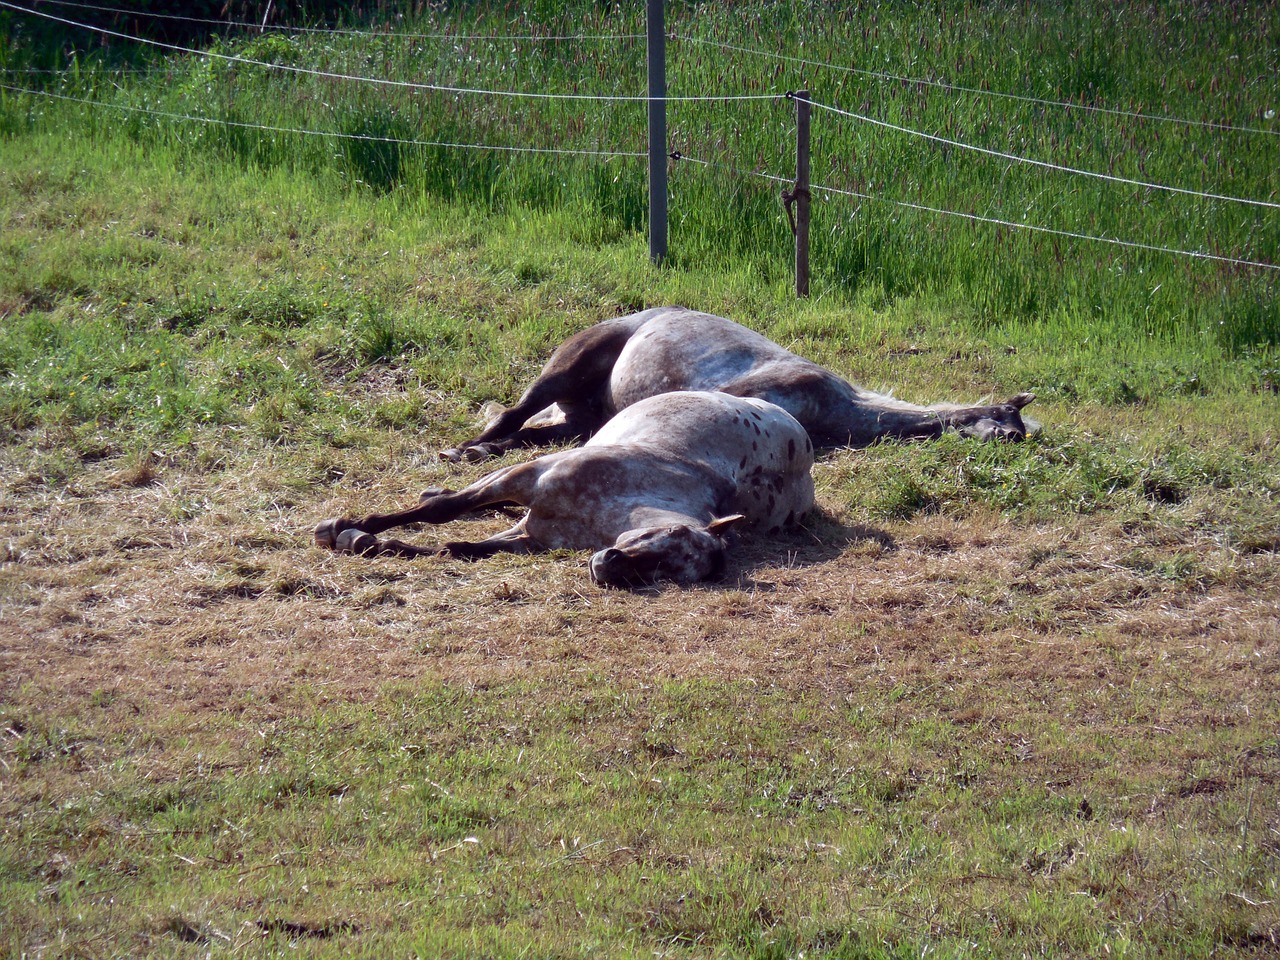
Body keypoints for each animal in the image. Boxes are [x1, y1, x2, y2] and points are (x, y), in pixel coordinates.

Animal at [440, 304, 1029, 463]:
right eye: (1010, 425)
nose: (1017, 444)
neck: (830, 403)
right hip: (566, 367)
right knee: (510, 416)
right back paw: (465, 450)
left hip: (580, 417)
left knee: (533, 432)